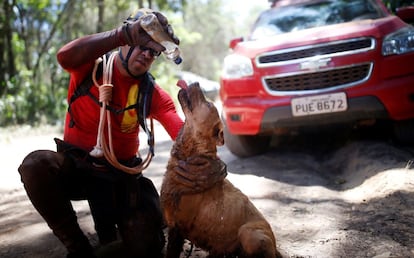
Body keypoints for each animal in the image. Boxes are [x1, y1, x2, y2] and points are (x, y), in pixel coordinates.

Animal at [160, 82, 284, 258]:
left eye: (208, 104)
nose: (196, 83)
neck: (191, 154)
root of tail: (275, 247)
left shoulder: (178, 227)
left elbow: (172, 251)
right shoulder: (172, 226)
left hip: (249, 233)